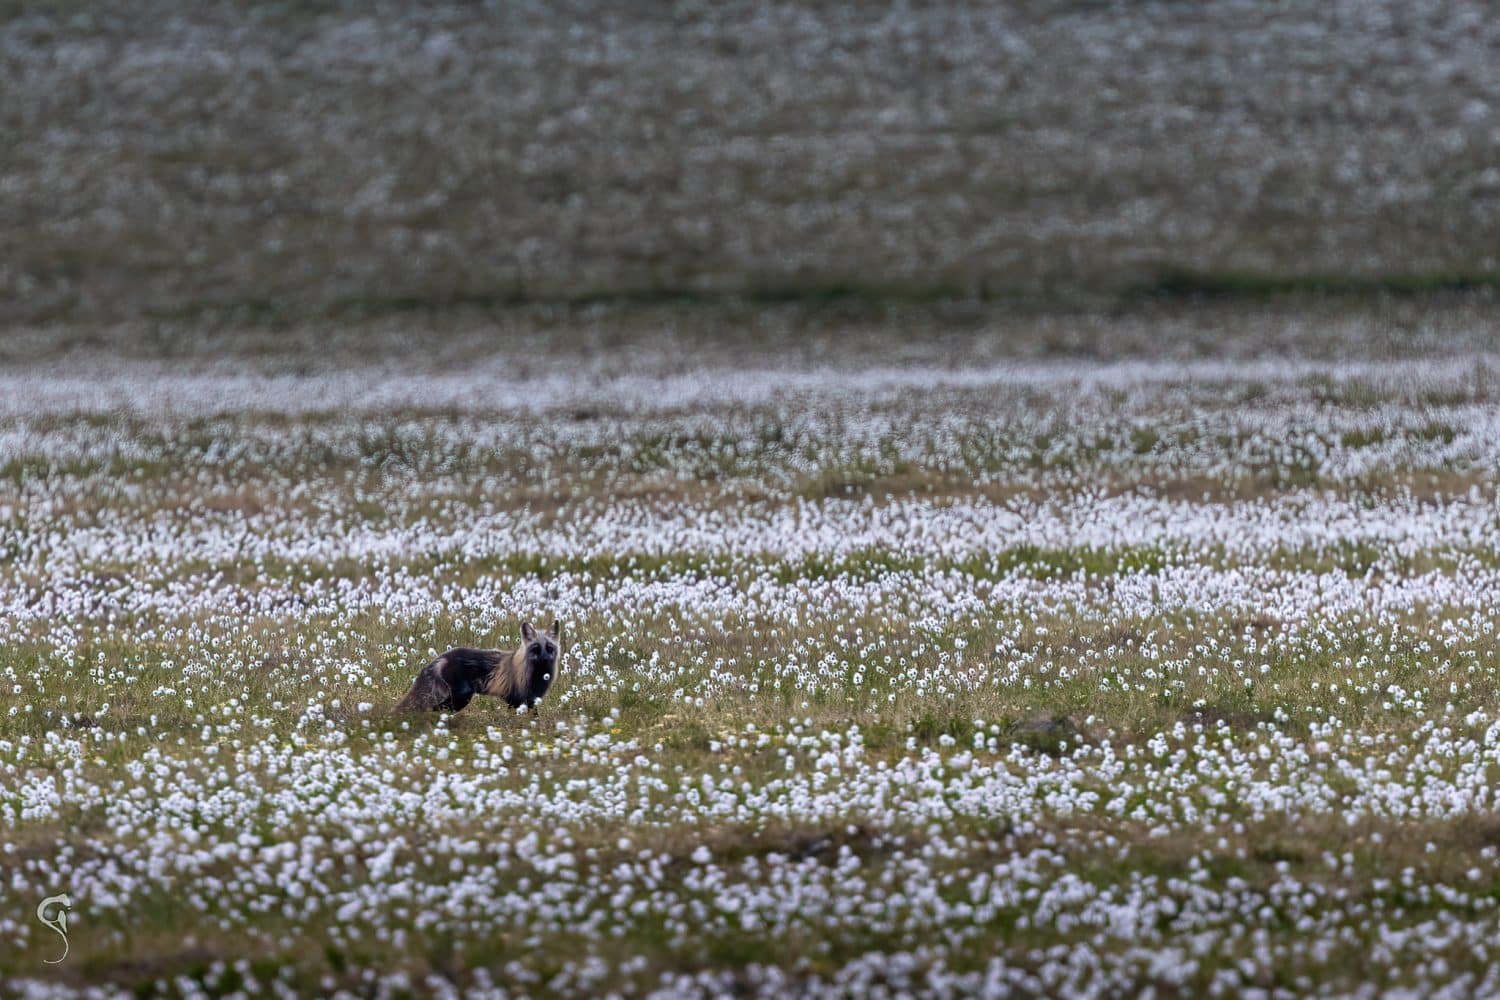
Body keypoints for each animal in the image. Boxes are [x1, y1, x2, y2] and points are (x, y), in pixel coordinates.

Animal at [395, 619, 563, 716]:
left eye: (549, 647)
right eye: (536, 648)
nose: (545, 659)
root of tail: (442, 656)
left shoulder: (530, 700)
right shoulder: (518, 699)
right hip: (461, 698)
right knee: (434, 709)